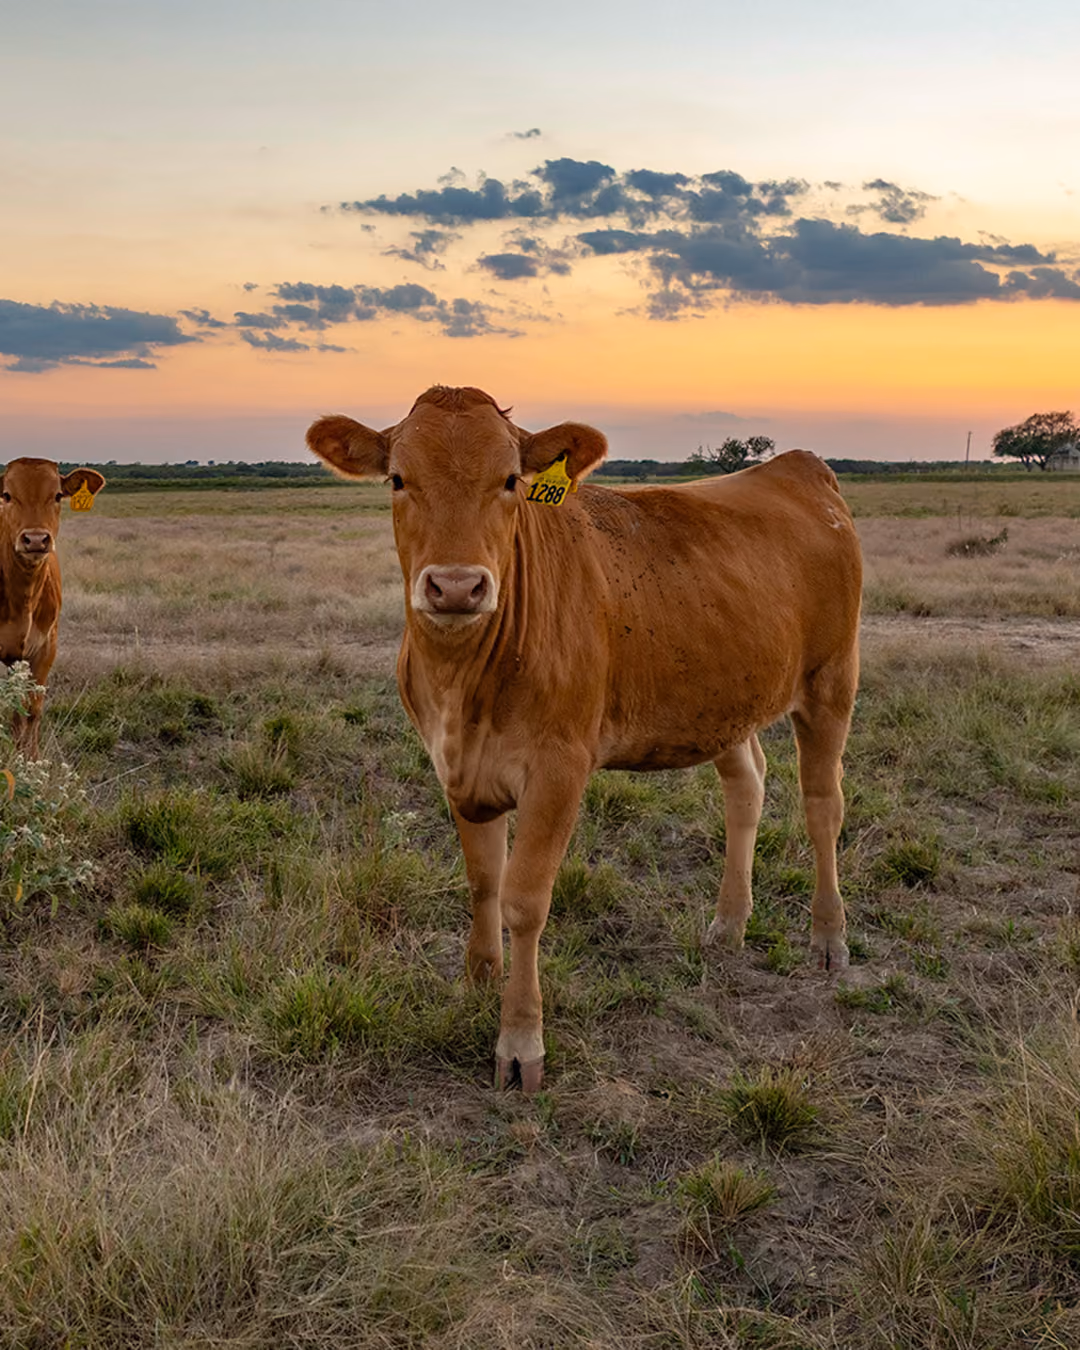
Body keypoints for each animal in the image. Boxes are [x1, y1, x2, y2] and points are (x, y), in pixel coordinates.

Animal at [1, 458, 106, 758]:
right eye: (7, 495)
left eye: (58, 495)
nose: (36, 539)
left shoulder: (46, 647)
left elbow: (31, 710)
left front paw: (29, 758)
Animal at [307, 387, 862, 1091]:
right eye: (399, 479)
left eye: (510, 481)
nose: (457, 585)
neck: (462, 686)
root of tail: (798, 466)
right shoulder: (456, 767)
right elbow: (483, 881)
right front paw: (478, 983)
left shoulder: (559, 767)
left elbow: (524, 899)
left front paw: (520, 1041)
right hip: (723, 699)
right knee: (748, 790)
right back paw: (729, 924)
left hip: (830, 681)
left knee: (823, 806)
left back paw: (829, 938)